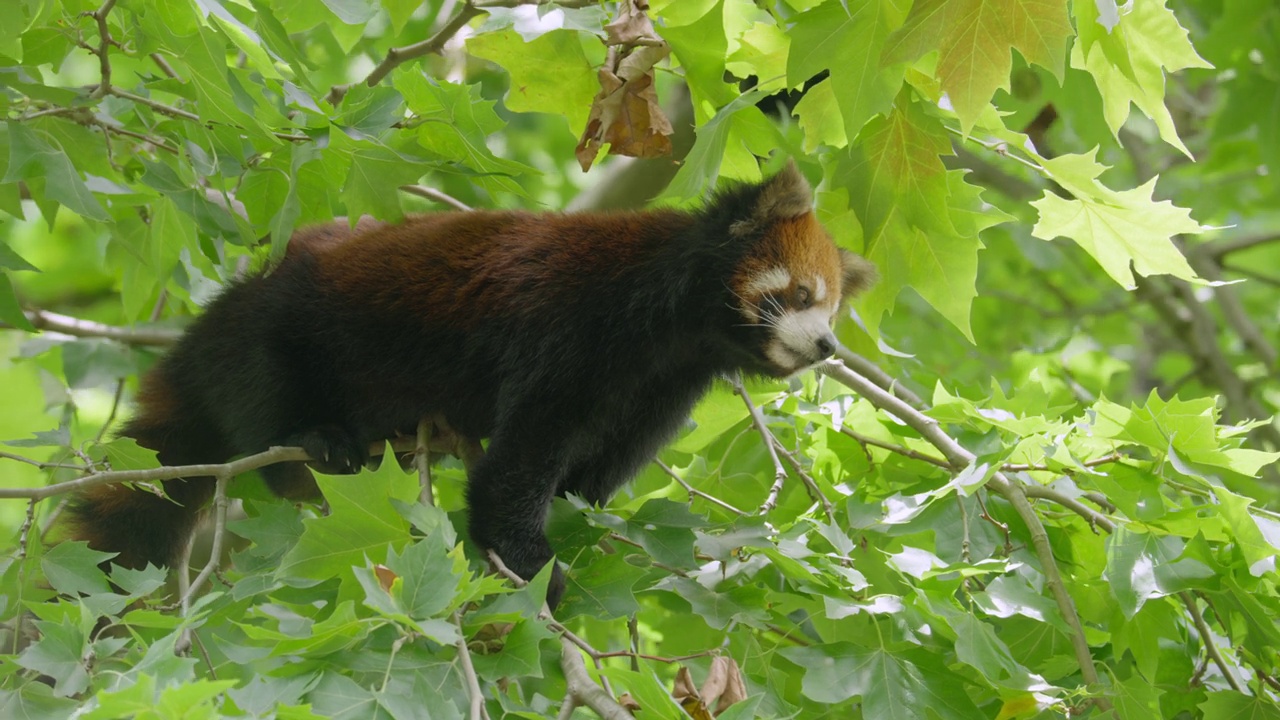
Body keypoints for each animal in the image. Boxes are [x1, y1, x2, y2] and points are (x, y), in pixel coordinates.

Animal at [67, 161, 870, 604]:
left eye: (831, 307)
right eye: (801, 294)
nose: (828, 344)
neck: (671, 321)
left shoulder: (661, 387)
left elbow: (593, 470)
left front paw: (580, 519)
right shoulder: (570, 329)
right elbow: (515, 466)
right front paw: (530, 562)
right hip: (282, 323)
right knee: (267, 388)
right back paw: (313, 443)